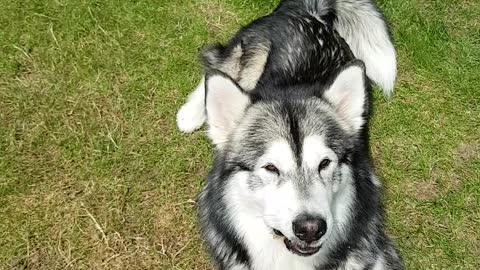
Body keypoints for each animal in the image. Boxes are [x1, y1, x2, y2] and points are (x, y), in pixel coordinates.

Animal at [176, 0, 402, 270]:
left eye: (325, 163)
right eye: (270, 168)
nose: (310, 228)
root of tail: (310, 11)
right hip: (249, 56)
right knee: (216, 70)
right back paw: (191, 114)